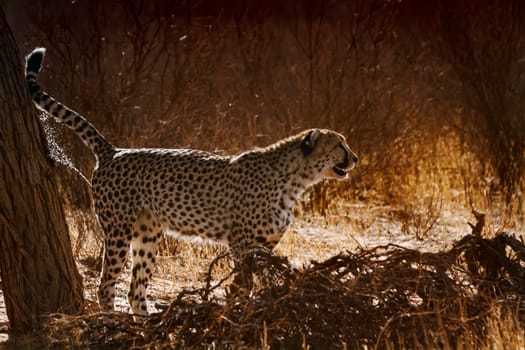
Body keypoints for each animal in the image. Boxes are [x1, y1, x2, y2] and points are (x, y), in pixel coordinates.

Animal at [26, 47, 358, 318]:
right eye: (339, 145)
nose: (355, 158)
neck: (295, 181)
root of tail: (114, 150)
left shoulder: (264, 246)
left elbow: (263, 282)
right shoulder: (241, 243)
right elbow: (243, 284)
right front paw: (236, 311)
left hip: (148, 233)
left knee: (135, 289)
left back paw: (147, 327)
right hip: (118, 229)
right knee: (107, 286)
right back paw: (116, 326)